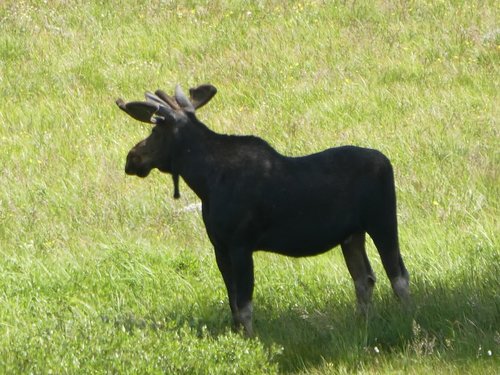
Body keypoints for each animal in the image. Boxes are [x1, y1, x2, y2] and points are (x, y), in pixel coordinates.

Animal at [116, 83, 410, 336]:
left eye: (154, 131)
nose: (132, 158)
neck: (204, 180)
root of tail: (387, 163)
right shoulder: (220, 247)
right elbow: (233, 304)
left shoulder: (240, 245)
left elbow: (245, 306)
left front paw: (250, 339)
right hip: (351, 236)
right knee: (364, 279)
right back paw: (364, 324)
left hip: (382, 221)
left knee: (398, 275)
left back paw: (408, 320)